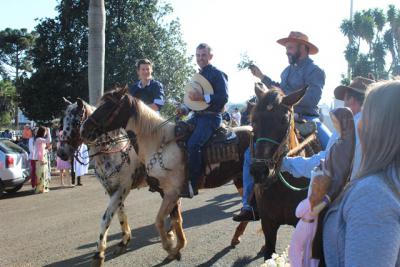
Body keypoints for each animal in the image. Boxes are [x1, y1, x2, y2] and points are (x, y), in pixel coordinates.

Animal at [79, 88, 253, 262]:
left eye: (108, 106)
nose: (84, 130)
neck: (159, 144)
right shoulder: (165, 193)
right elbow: (175, 220)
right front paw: (176, 248)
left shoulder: (171, 193)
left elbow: (159, 221)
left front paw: (170, 246)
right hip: (240, 181)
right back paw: (236, 238)